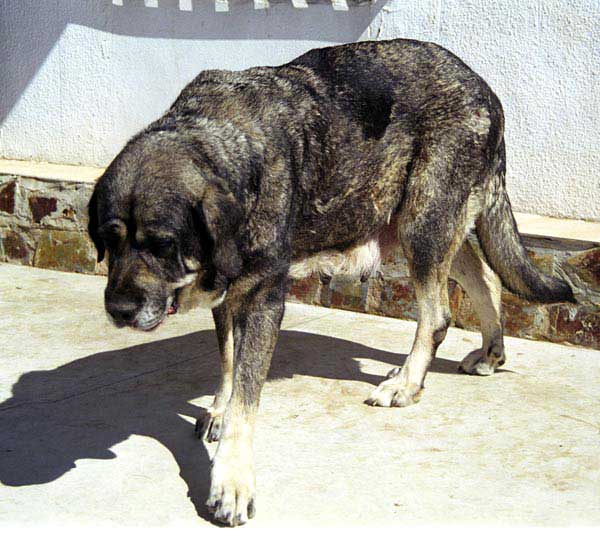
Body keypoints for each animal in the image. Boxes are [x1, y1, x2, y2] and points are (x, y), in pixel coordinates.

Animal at [86, 39, 576, 528]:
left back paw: (406, 383)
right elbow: (228, 363)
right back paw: (488, 352)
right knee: (484, 274)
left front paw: (233, 480)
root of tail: (484, 88)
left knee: (438, 315)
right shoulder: (228, 294)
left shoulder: (262, 299)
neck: (224, 144)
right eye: (109, 240)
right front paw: (220, 409)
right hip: (413, 221)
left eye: (162, 245)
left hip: (424, 222)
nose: (120, 310)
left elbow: (247, 395)